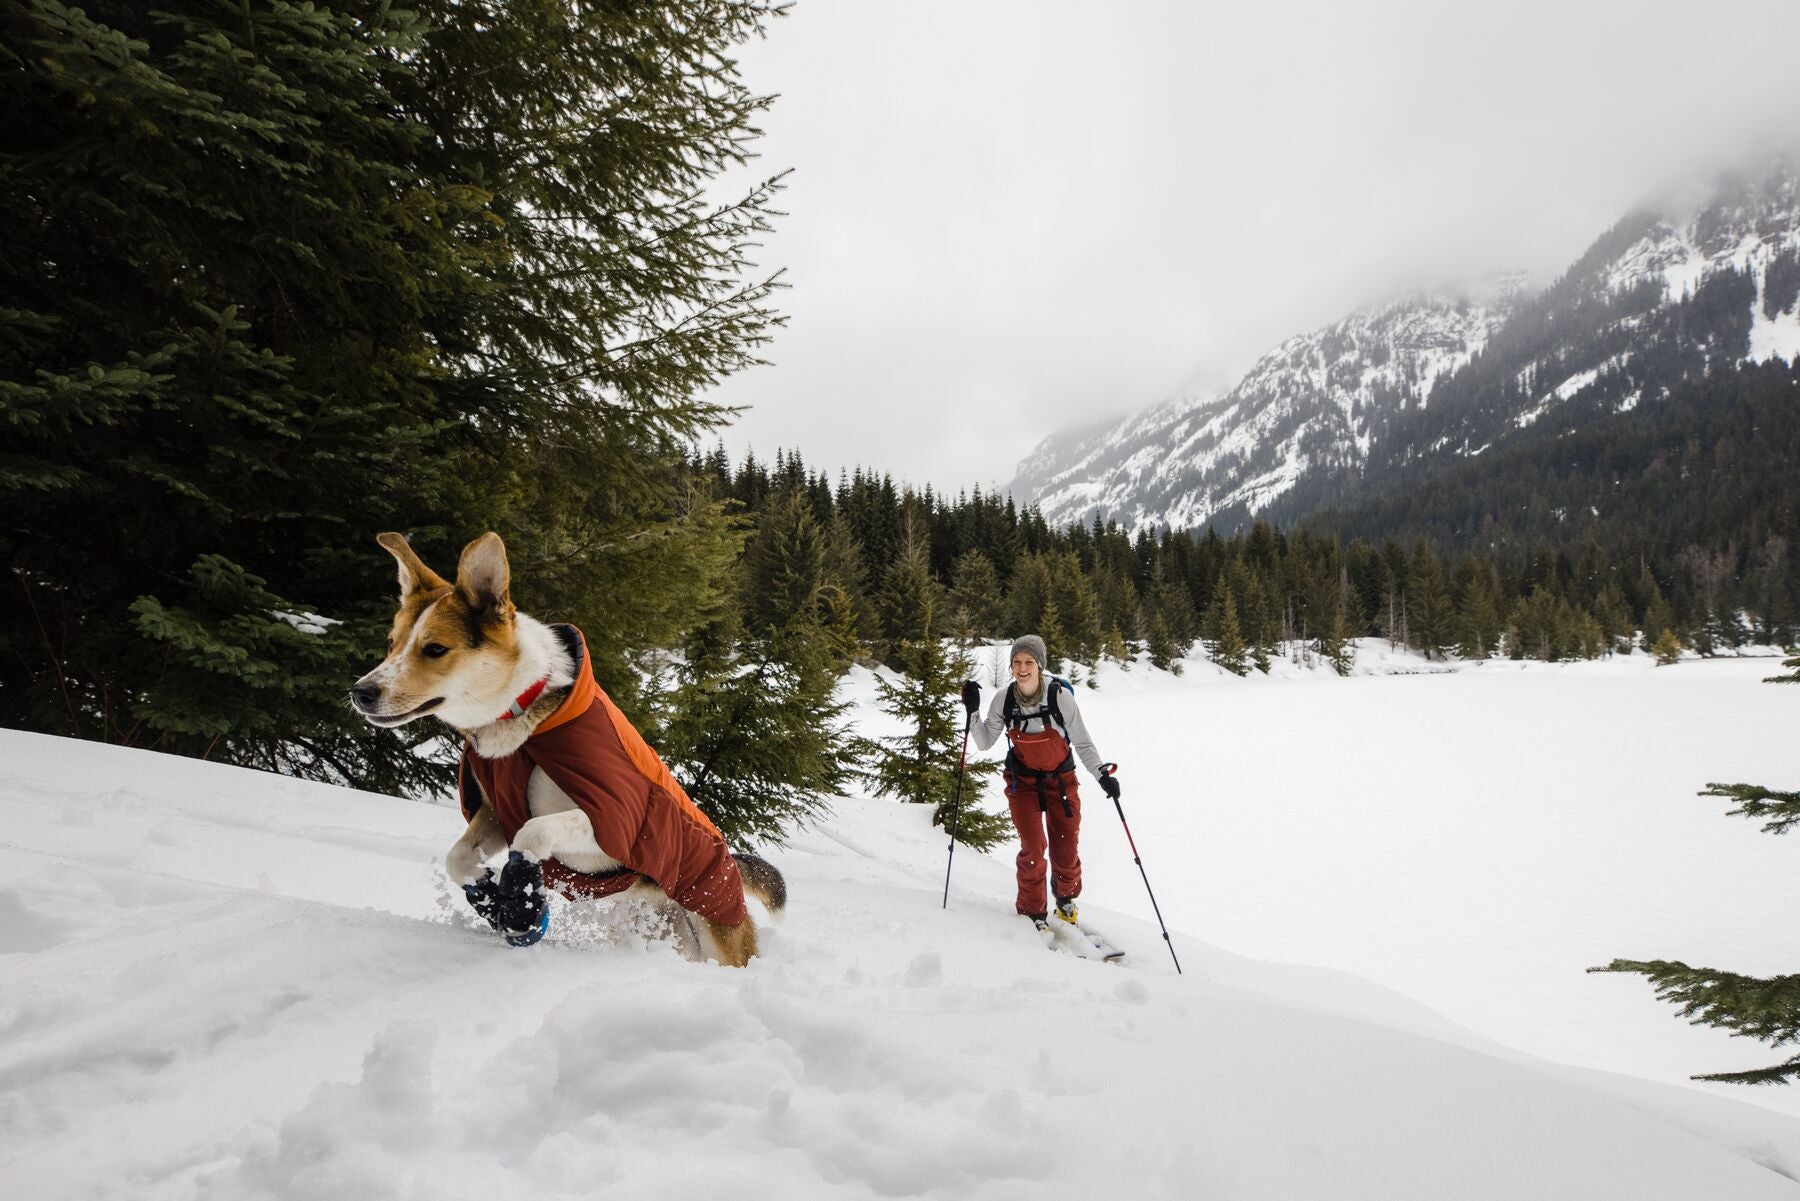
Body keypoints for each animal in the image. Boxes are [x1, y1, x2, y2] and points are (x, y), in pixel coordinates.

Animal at [351, 529, 781, 965]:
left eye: (435, 648)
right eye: (392, 643)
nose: (361, 692)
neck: (523, 719)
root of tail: (731, 866)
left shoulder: (614, 826)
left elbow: (533, 832)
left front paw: (521, 901)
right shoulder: (495, 812)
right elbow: (459, 858)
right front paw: (493, 899)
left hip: (717, 934)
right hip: (664, 929)